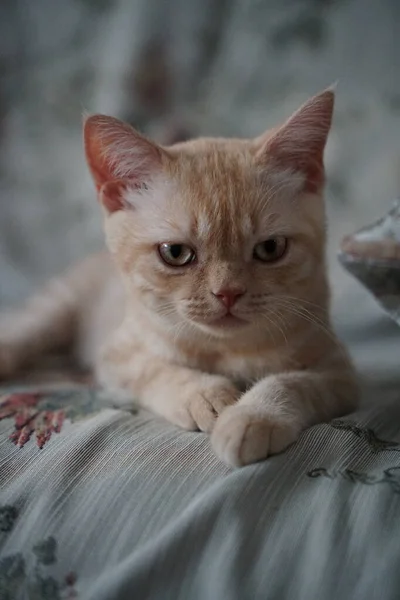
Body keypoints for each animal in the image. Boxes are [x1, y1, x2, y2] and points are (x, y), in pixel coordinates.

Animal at [0, 89, 356, 466]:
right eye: (175, 253)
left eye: (271, 248)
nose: (228, 292)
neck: (226, 349)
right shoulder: (117, 355)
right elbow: (157, 369)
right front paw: (208, 396)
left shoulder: (340, 373)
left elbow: (292, 383)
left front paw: (252, 418)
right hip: (53, 311)